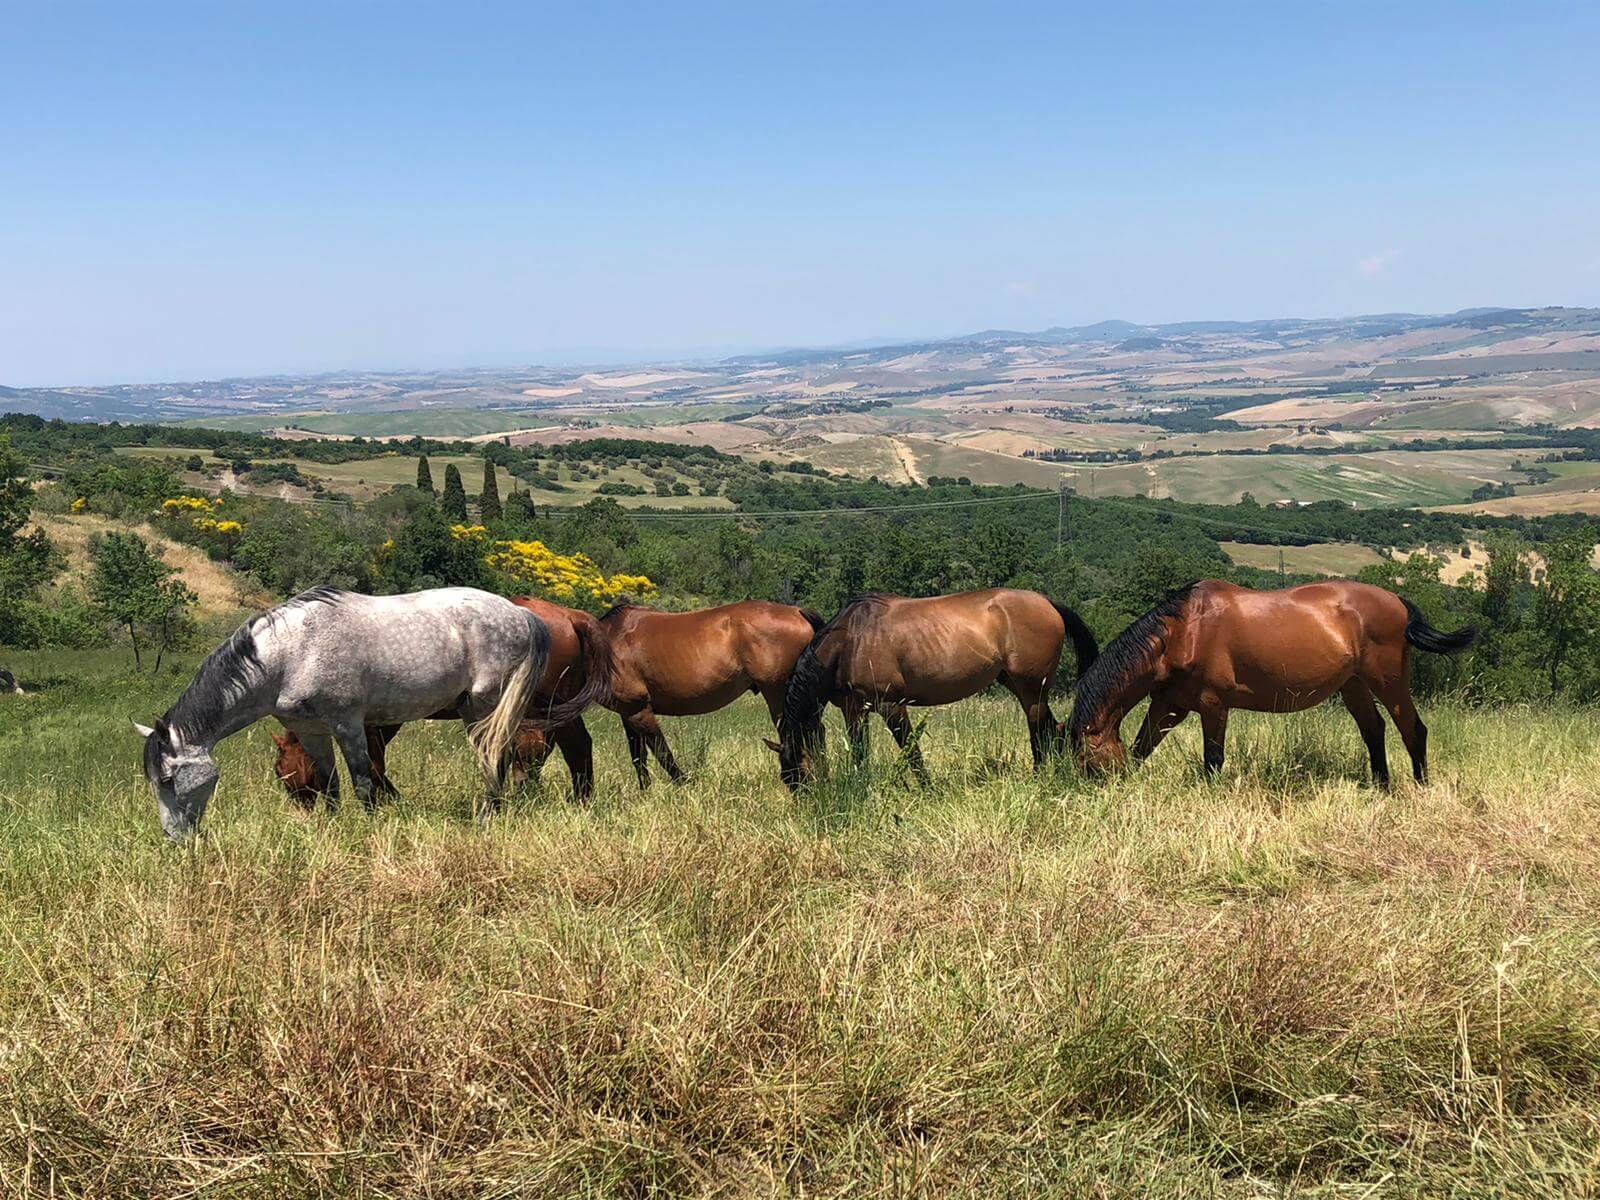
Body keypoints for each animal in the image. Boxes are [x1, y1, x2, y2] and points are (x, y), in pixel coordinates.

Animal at [134, 587, 552, 839]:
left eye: (168, 779)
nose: (174, 839)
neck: (291, 653)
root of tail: (520, 614)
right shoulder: (312, 731)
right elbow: (329, 785)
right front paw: (331, 831)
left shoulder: (347, 724)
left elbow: (362, 783)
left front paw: (367, 831)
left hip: (485, 706)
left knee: (495, 757)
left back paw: (487, 818)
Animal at [267, 594, 611, 806]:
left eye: (280, 771)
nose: (305, 811)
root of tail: (570, 616)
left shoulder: (373, 723)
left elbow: (375, 767)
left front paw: (391, 801)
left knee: (578, 747)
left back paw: (581, 801)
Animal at [599, 600, 825, 786]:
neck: (610, 642)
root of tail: (797, 611)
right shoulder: (628, 713)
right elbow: (639, 757)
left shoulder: (638, 711)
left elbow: (662, 753)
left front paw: (685, 784)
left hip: (778, 694)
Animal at [775, 589, 1099, 789]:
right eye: (786, 778)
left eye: (796, 774)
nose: (810, 801)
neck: (851, 640)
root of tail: (1047, 602)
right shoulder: (854, 710)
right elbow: (859, 752)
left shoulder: (892, 706)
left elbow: (910, 750)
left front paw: (927, 788)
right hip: (1020, 685)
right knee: (1052, 728)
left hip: (1031, 688)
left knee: (1040, 731)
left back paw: (1038, 778)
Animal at [1066, 579, 1477, 784]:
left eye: (1084, 758)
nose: (1086, 790)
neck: (1185, 631)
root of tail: (1398, 601)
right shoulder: (1170, 704)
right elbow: (1141, 747)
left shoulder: (1213, 705)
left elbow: (1213, 759)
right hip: (1353, 685)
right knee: (1374, 730)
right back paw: (1381, 785)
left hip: (1387, 681)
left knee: (1412, 728)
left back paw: (1419, 787)